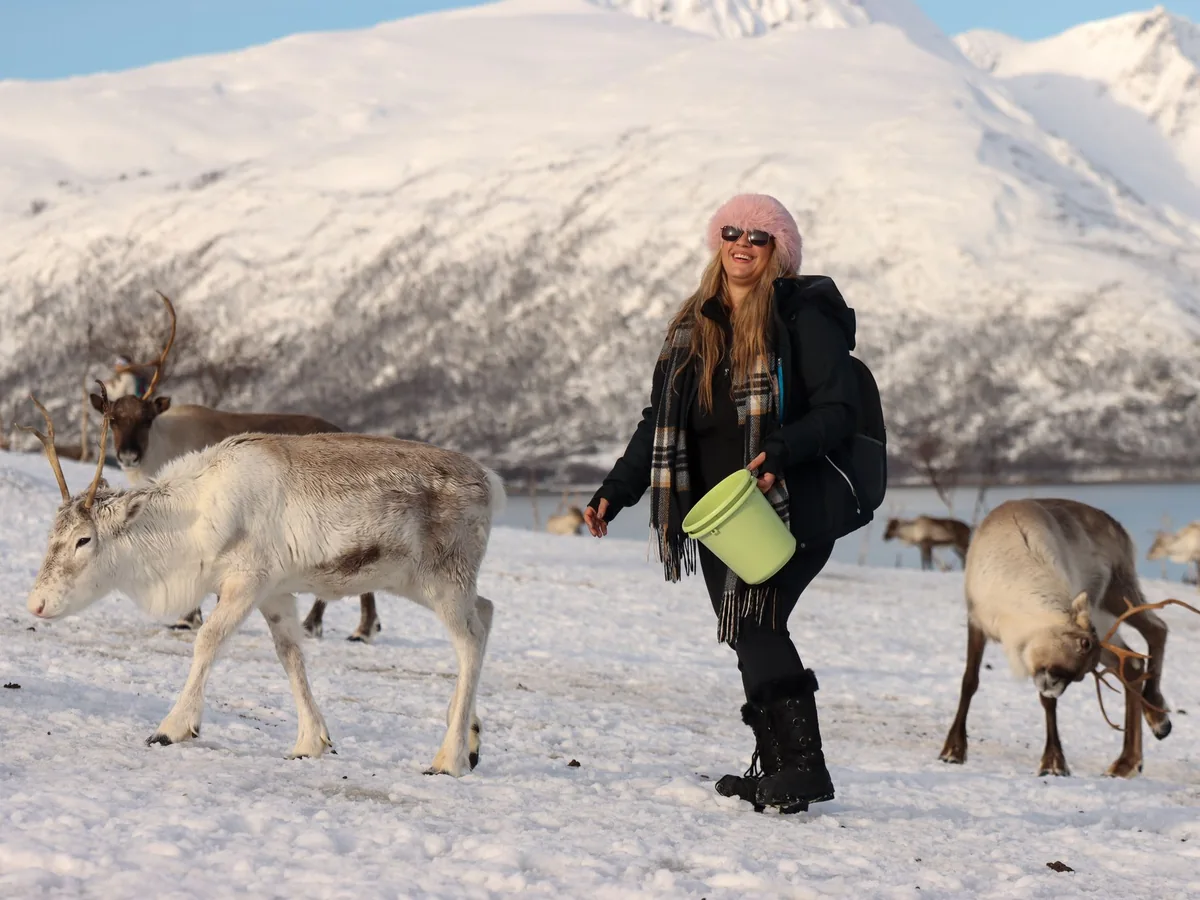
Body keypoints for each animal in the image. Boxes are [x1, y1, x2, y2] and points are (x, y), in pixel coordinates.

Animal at [20, 387, 503, 776]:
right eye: (52, 534)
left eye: (84, 539)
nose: (36, 604)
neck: (190, 524)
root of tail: (491, 482)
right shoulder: (277, 592)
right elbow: (290, 656)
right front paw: (310, 742)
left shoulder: (247, 581)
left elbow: (208, 640)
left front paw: (172, 727)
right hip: (424, 582)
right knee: (487, 609)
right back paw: (473, 739)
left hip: (443, 578)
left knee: (470, 639)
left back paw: (449, 758)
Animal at [90, 292, 380, 642]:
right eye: (113, 420)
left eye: (146, 419)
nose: (129, 454)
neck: (161, 447)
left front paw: (189, 619)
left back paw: (354, 628)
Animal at [938, 498, 1199, 778]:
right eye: (1082, 644)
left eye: (1082, 675)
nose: (1054, 685)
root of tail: (1119, 528)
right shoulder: (977, 620)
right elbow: (969, 681)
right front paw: (952, 750)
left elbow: (1047, 704)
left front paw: (1054, 762)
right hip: (1107, 610)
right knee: (1135, 659)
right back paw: (1133, 754)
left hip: (1116, 591)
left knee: (1156, 630)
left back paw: (1151, 728)